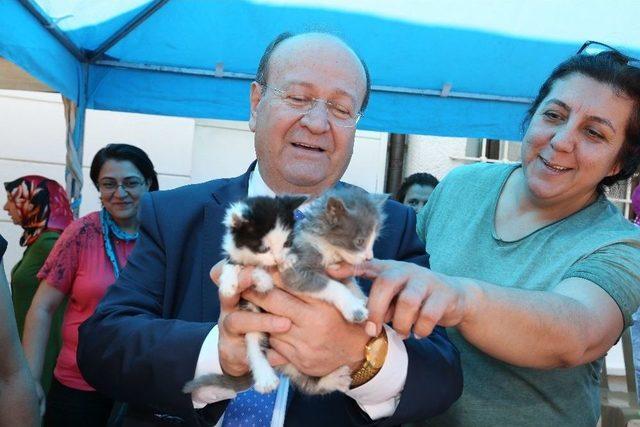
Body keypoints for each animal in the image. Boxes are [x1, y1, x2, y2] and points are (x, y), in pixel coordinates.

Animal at [185, 189, 384, 400]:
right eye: (360, 242)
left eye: (374, 240)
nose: (369, 258)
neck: (325, 246)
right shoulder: (295, 272)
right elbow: (331, 286)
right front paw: (354, 308)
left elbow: (349, 282)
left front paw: (361, 298)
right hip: (253, 317)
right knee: (254, 343)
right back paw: (266, 377)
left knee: (307, 383)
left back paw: (333, 379)